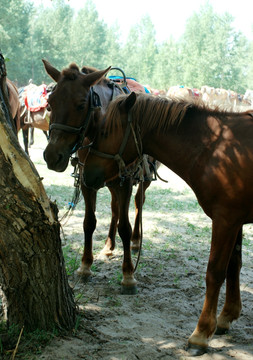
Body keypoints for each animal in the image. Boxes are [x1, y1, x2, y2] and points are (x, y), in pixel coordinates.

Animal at [42, 59, 157, 294]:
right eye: (50, 103)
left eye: (80, 105)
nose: (52, 156)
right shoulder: (88, 182)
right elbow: (89, 222)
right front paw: (85, 266)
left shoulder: (125, 183)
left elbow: (125, 227)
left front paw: (128, 275)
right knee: (114, 210)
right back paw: (108, 245)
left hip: (140, 181)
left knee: (138, 204)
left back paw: (135, 241)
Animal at [83, 91, 253, 352]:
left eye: (103, 132)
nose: (86, 174)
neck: (218, 149)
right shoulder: (236, 221)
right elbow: (234, 265)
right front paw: (226, 316)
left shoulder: (226, 220)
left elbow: (214, 272)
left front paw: (201, 332)